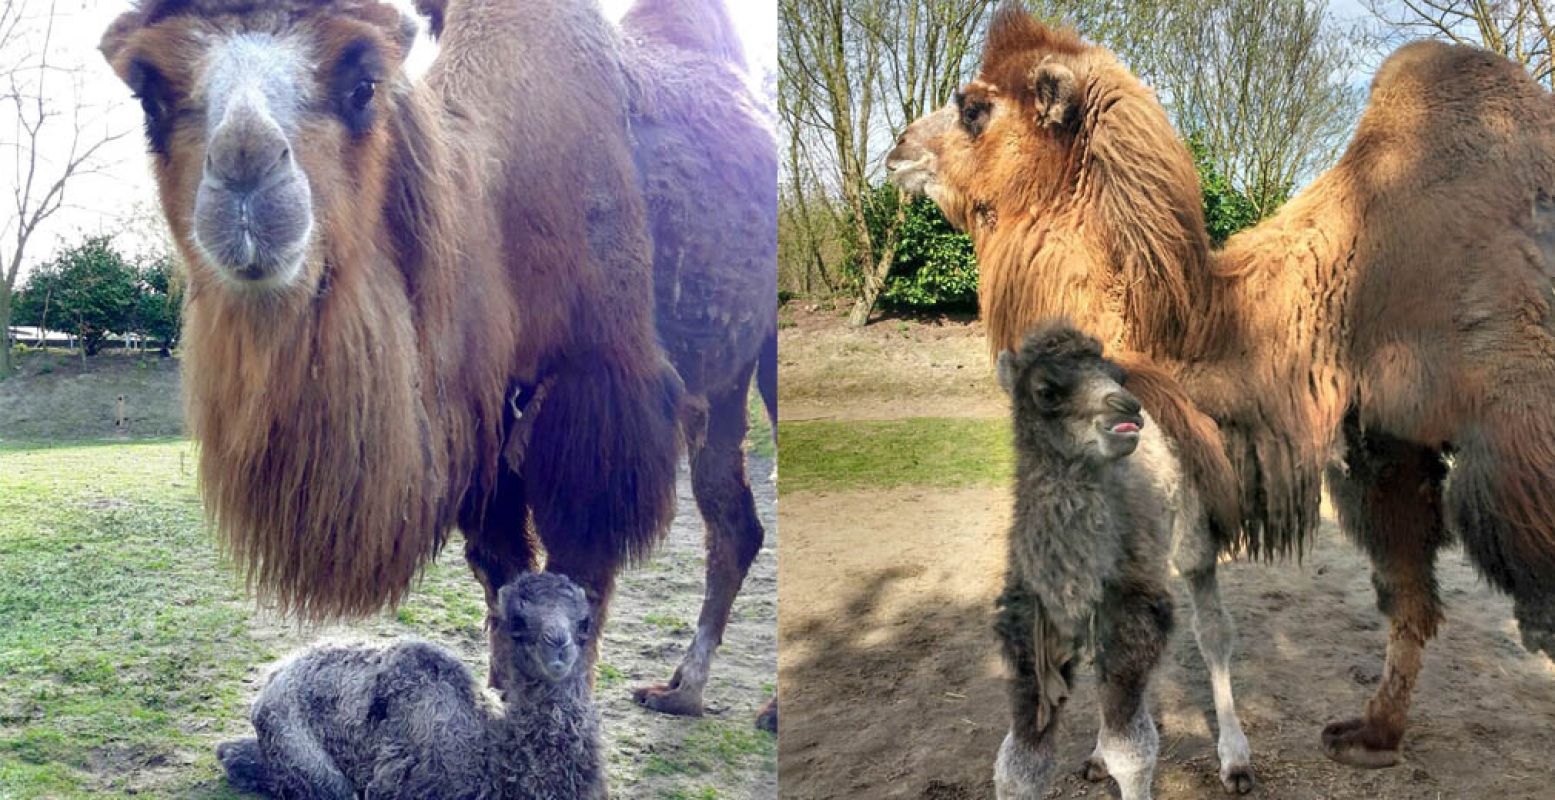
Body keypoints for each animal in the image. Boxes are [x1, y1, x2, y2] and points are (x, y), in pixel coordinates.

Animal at [95, 0, 681, 684]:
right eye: (149, 97)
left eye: (363, 86)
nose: (244, 165)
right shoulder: (480, 426)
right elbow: (500, 569)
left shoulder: (599, 392)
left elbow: (582, 567)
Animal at [988, 322, 1169, 796]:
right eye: (1046, 390)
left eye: (1117, 376)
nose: (1128, 411)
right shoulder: (1032, 638)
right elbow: (1021, 762)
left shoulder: (1133, 616)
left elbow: (1132, 748)